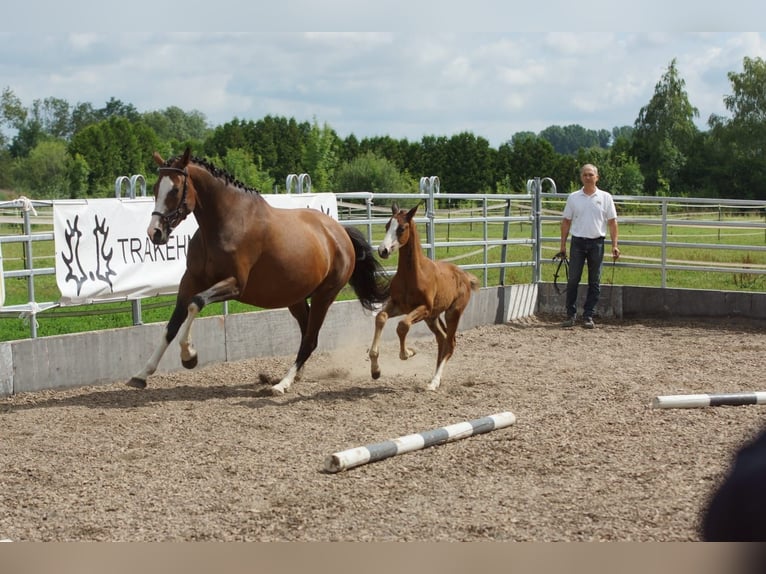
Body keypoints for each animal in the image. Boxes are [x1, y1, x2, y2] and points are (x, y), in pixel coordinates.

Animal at [128, 148, 390, 396]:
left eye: (174, 190)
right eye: (155, 188)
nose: (155, 233)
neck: (225, 224)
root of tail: (339, 232)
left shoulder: (234, 284)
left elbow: (196, 303)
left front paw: (189, 356)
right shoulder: (189, 282)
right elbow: (171, 326)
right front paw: (141, 375)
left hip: (324, 296)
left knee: (310, 339)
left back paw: (282, 384)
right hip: (295, 298)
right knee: (307, 334)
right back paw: (293, 376)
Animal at [368, 202, 480, 392]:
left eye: (402, 228)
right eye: (387, 226)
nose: (383, 250)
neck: (413, 274)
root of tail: (464, 275)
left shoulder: (423, 309)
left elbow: (403, 325)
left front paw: (408, 352)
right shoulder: (398, 305)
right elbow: (381, 317)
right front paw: (375, 370)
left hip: (452, 313)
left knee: (450, 344)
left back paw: (434, 382)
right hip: (432, 318)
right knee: (441, 340)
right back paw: (435, 378)